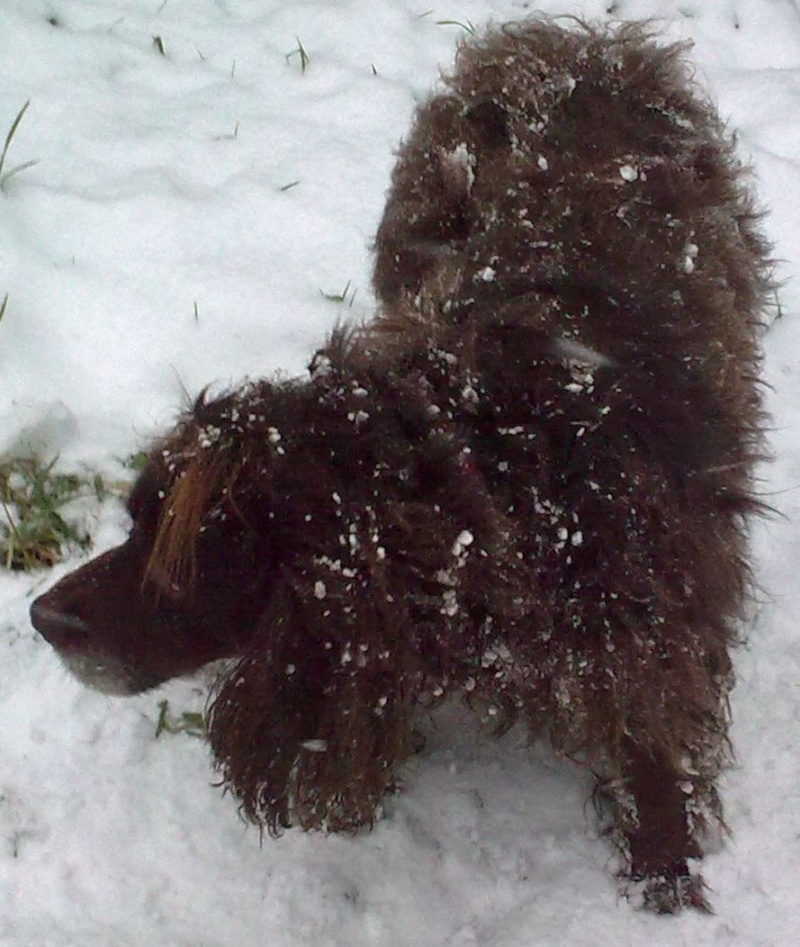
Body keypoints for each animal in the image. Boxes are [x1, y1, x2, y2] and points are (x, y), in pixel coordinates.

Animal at [31, 20, 768, 912]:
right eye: (135, 517)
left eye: (196, 552)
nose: (41, 616)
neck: (499, 484)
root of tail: (572, 39)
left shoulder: (659, 620)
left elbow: (655, 747)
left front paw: (665, 880)